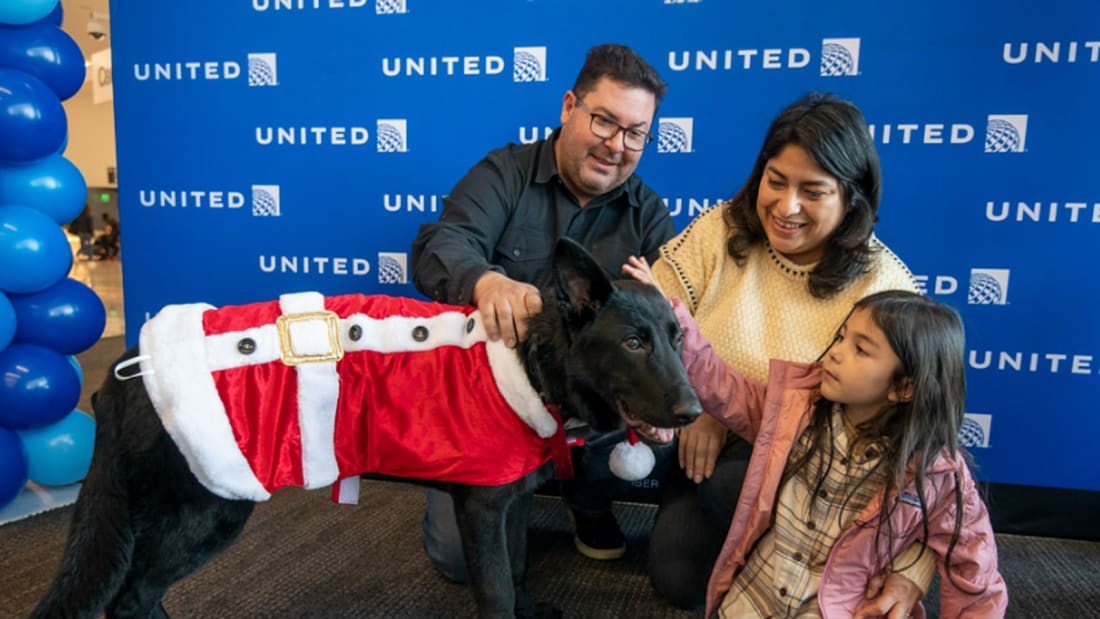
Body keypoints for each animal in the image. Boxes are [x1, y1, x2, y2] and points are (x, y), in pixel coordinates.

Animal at [32, 240, 704, 619]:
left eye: (676, 339)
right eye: (634, 343)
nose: (695, 411)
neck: (532, 363)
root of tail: (125, 370)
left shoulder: (506, 504)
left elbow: (515, 571)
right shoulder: (482, 510)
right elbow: (495, 591)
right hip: (207, 511)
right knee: (130, 599)